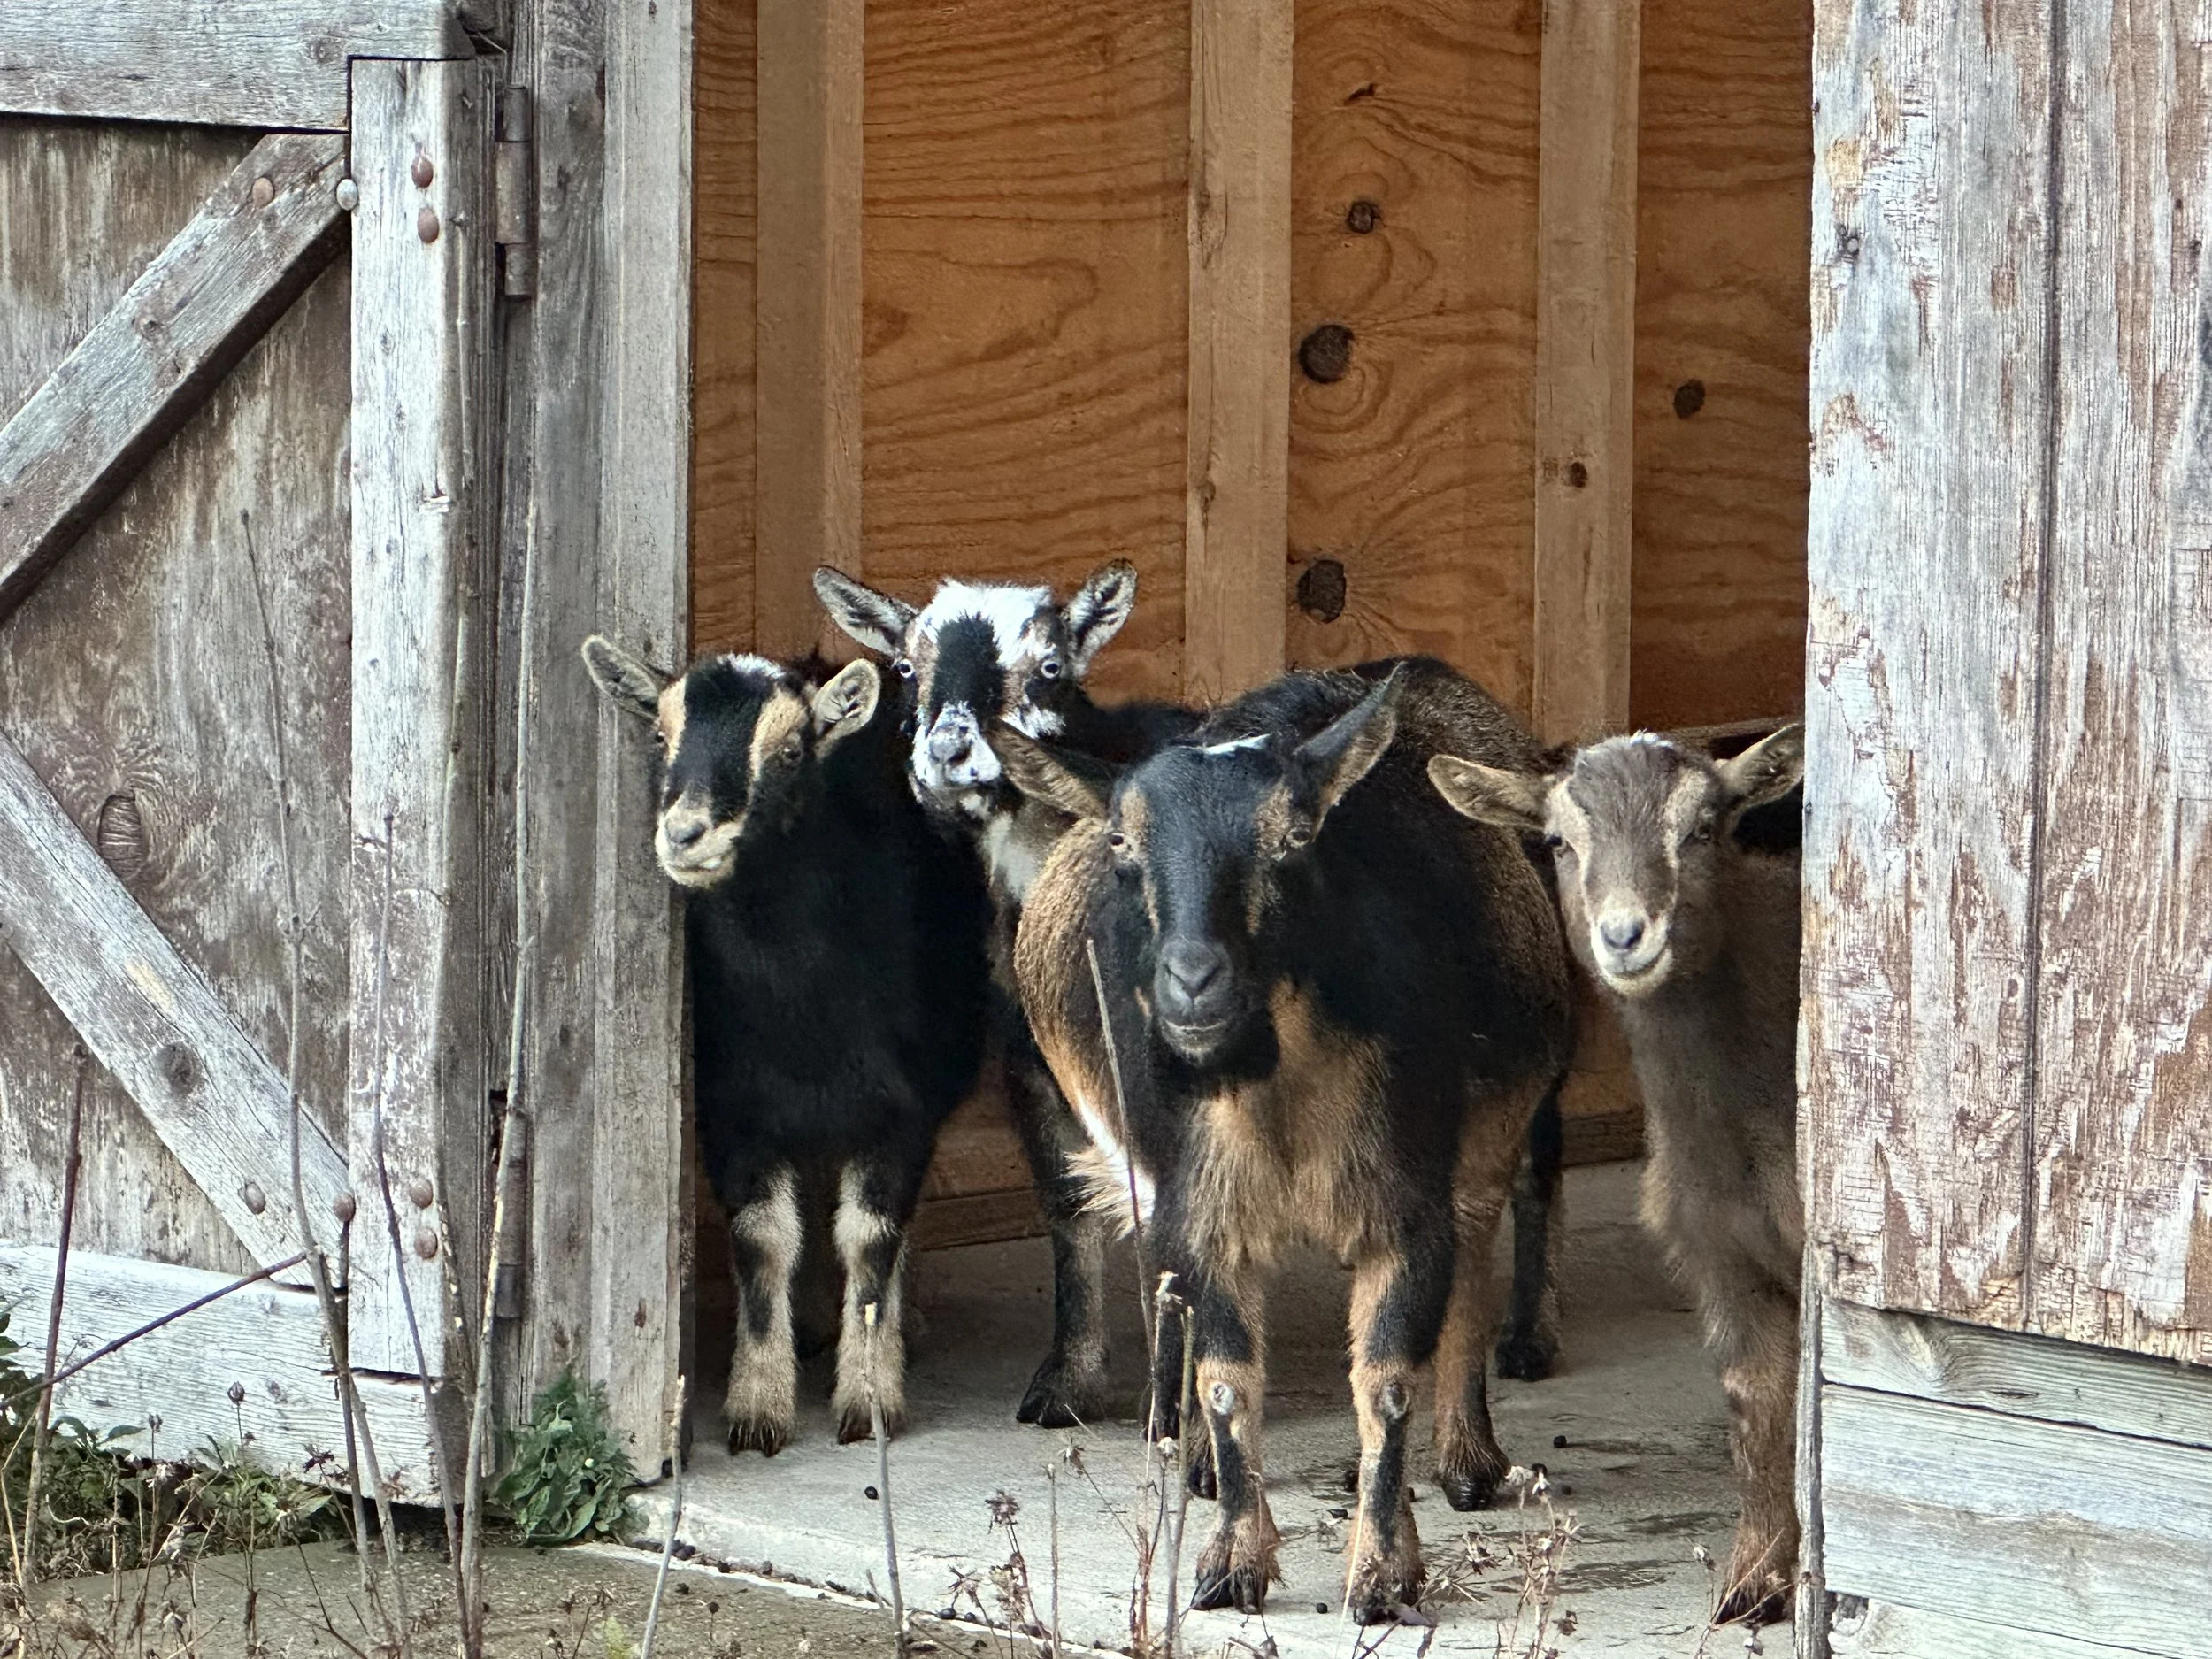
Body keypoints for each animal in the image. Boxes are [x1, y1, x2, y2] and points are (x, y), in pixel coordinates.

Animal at [582, 638, 991, 1454]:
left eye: (792, 749)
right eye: (658, 735)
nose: (686, 833)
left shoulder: (903, 1108)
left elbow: (871, 1240)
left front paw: (869, 1399)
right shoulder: (733, 1106)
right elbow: (764, 1238)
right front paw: (757, 1405)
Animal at [812, 560, 1197, 1428]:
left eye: (1050, 666)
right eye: (906, 667)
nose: (949, 749)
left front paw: (1175, 1404)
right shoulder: (1030, 1056)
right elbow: (1066, 1200)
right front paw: (1067, 1383)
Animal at [993, 660, 1575, 1623]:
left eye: (1295, 836)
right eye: (1121, 841)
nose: (1194, 980)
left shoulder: (1407, 1203)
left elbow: (1387, 1379)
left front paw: (1381, 1575)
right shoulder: (1199, 1209)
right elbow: (1227, 1375)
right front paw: (1230, 1563)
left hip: (1486, 1141)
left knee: (1473, 1271)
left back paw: (1465, 1460)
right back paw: (1193, 1459)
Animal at [1429, 725, 1804, 1625]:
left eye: (1703, 826)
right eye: (1560, 841)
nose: (1628, 935)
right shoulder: (1718, 1244)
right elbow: (1755, 1400)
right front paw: (1752, 1584)